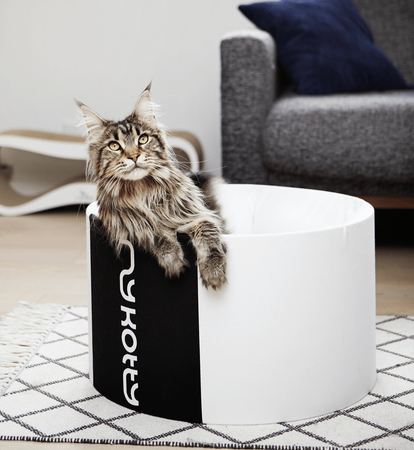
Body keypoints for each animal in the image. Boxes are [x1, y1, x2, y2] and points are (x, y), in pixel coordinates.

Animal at [77, 84, 227, 290]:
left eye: (143, 139)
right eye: (114, 146)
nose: (133, 156)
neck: (143, 191)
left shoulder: (197, 215)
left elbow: (208, 233)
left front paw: (213, 271)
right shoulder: (129, 225)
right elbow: (154, 232)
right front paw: (174, 261)